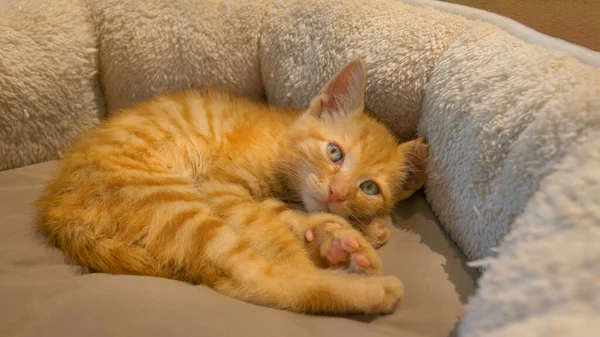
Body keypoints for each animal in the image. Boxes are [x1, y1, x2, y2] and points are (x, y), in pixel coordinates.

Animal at [35, 58, 428, 316]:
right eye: (335, 152)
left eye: (369, 188)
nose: (337, 193)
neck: (281, 141)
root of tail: (57, 211)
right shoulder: (221, 187)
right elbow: (268, 228)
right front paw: (325, 241)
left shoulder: (255, 197)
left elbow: (279, 213)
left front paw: (341, 233)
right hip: (173, 202)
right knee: (248, 276)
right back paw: (362, 288)